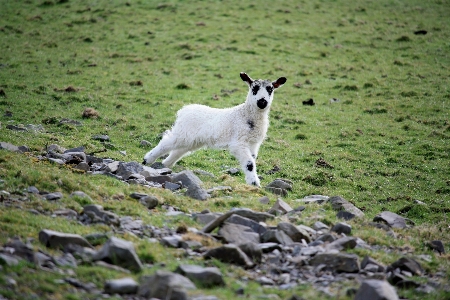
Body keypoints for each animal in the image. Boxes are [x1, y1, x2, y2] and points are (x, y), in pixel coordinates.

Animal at [142, 72, 286, 185]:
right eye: (254, 88)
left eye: (270, 89)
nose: (262, 102)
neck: (246, 115)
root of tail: (184, 110)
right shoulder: (238, 142)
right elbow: (249, 164)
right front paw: (255, 183)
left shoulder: (253, 143)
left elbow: (251, 161)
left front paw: (252, 181)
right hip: (183, 133)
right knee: (166, 142)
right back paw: (147, 160)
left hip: (192, 140)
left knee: (178, 150)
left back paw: (166, 164)